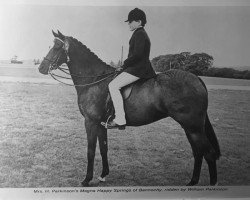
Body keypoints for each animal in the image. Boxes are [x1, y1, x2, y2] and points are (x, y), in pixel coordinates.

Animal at [38, 30, 221, 187]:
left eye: (57, 46)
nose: (41, 68)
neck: (94, 80)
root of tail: (196, 78)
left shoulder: (90, 122)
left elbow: (90, 150)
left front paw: (86, 179)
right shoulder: (100, 124)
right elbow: (103, 148)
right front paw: (103, 175)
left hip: (193, 127)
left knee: (209, 153)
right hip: (190, 127)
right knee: (198, 152)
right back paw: (192, 182)